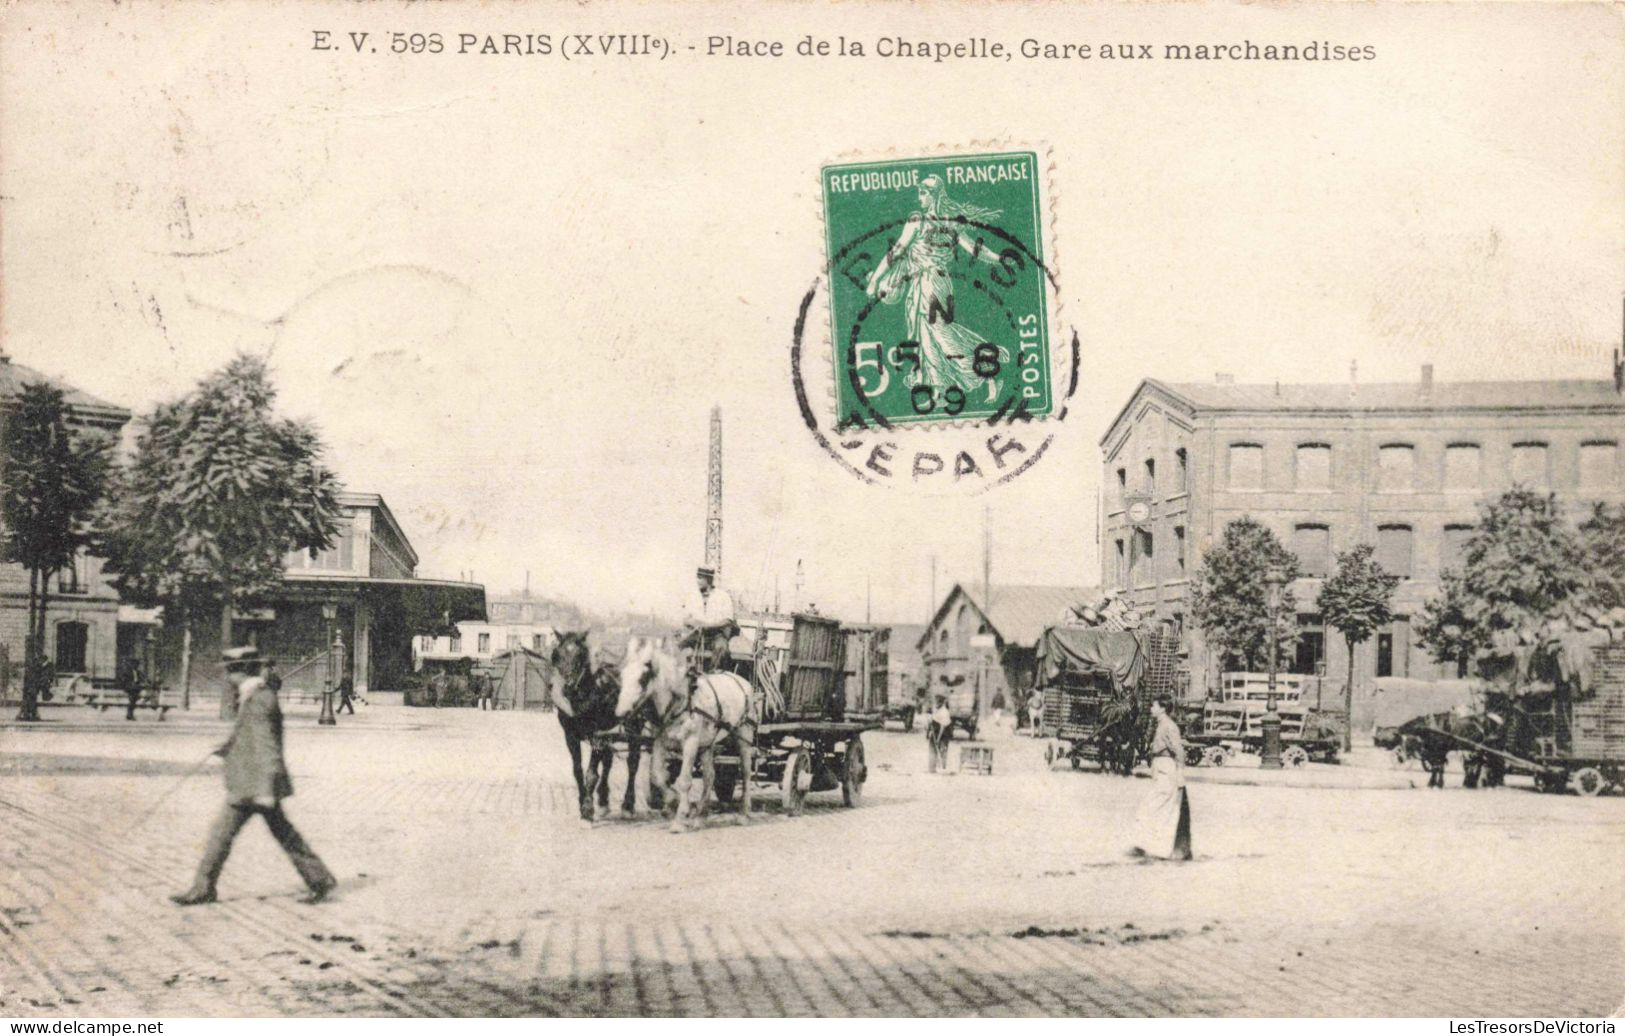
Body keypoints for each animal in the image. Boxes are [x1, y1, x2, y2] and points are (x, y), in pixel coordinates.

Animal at [546, 633, 646, 818]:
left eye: (581, 656)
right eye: (556, 655)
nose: (568, 686)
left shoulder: (596, 735)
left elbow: (592, 773)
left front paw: (587, 807)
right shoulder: (570, 735)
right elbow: (577, 769)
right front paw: (582, 800)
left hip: (633, 726)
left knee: (633, 762)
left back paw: (628, 804)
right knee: (608, 759)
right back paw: (604, 800)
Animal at [614, 643, 754, 837]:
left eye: (643, 678)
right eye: (622, 675)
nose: (621, 713)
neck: (681, 703)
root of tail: (740, 679)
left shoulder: (690, 744)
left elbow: (684, 781)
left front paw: (680, 819)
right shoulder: (660, 742)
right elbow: (657, 775)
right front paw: (673, 803)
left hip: (744, 735)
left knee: (746, 773)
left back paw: (743, 813)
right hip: (707, 744)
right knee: (710, 776)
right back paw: (700, 817)